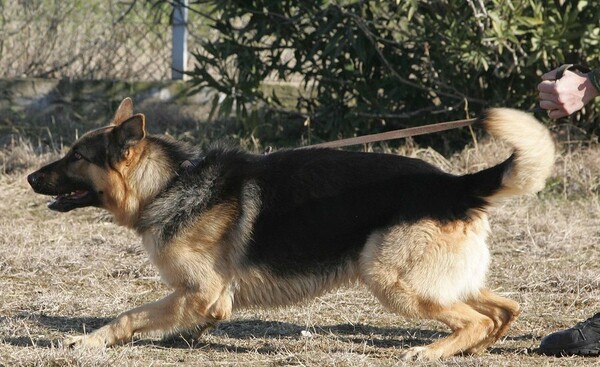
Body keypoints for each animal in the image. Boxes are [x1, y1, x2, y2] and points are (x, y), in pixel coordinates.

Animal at [27, 98, 552, 362]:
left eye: (76, 156)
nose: (30, 178)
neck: (170, 183)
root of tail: (456, 185)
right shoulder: (206, 298)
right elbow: (182, 318)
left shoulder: (200, 291)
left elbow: (130, 315)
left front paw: (87, 342)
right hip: (441, 280)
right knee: (504, 309)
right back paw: (471, 350)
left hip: (391, 279)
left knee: (475, 318)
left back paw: (429, 352)